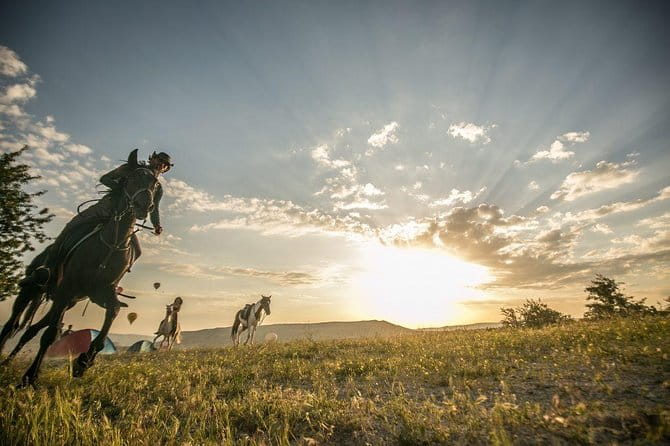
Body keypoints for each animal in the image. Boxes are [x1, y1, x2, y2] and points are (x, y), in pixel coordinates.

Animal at [0, 150, 159, 386]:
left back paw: (7, 363)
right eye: (130, 179)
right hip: (32, 291)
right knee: (12, 326)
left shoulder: (100, 293)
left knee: (31, 331)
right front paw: (30, 377)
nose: (144, 206)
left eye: (155, 185)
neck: (111, 243)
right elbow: (49, 336)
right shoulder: (67, 289)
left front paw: (84, 362)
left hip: (66, 301)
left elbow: (114, 311)